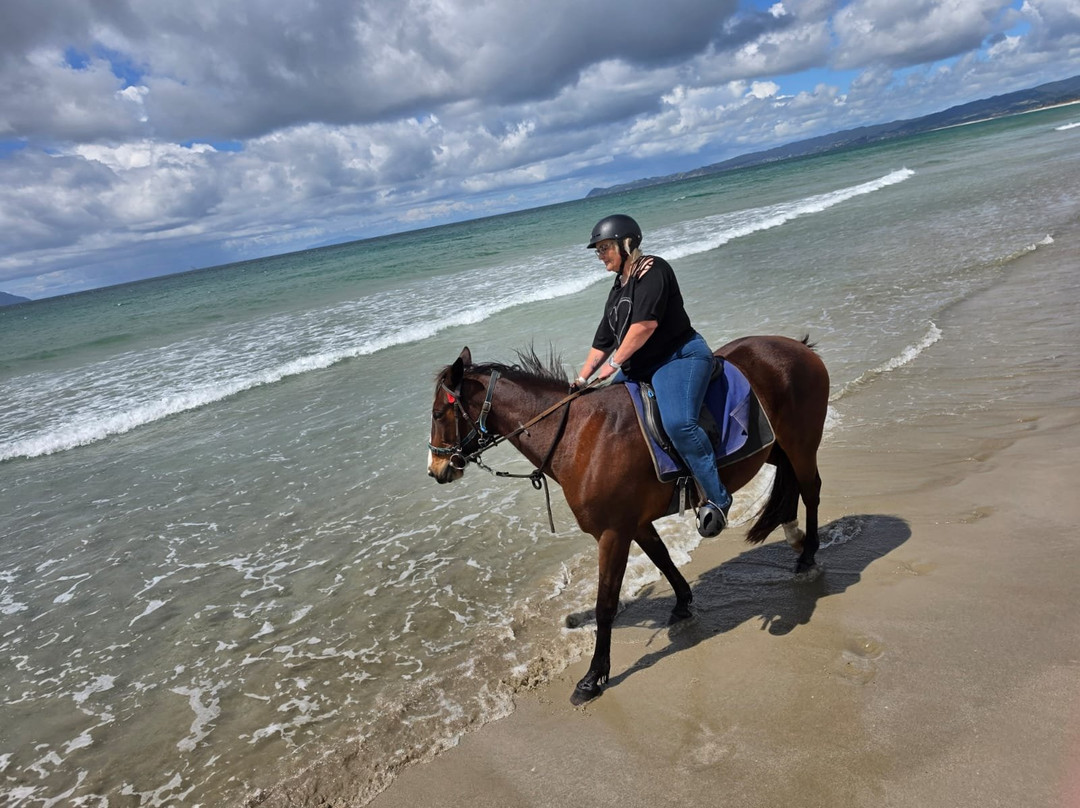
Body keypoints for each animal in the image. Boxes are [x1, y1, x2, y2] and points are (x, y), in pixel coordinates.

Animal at [427, 335, 829, 705]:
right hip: (776, 448)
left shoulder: (612, 533)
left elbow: (606, 604)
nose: (436, 469)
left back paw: (808, 554)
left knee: (811, 490)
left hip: (801, 443)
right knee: (790, 485)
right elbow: (662, 559)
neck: (579, 435)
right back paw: (793, 537)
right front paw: (682, 603)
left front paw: (593, 677)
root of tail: (797, 346)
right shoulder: (634, 524)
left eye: (437, 414)